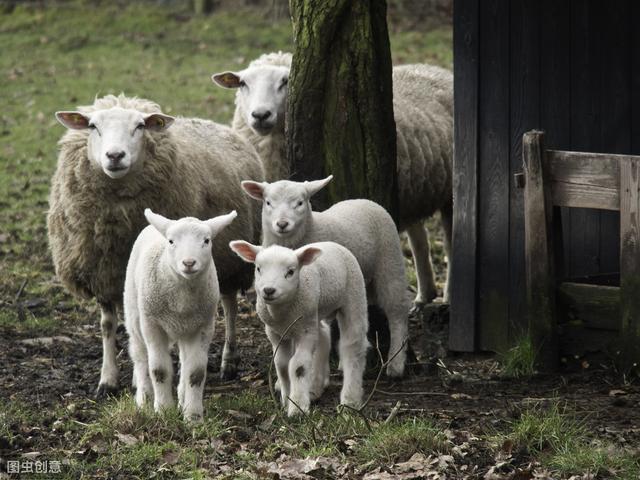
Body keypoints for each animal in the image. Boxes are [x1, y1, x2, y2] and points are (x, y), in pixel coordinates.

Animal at [47, 92, 262, 396]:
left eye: (139, 126)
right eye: (92, 126)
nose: (115, 156)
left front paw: (144, 380)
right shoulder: (103, 273)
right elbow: (108, 325)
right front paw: (108, 379)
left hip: (230, 261)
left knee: (230, 306)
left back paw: (228, 361)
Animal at [124, 208, 236, 422]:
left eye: (206, 240)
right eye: (171, 241)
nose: (189, 262)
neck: (182, 300)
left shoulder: (203, 327)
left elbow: (195, 373)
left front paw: (193, 417)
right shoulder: (153, 325)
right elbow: (158, 370)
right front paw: (163, 412)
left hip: (186, 329)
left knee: (184, 362)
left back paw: (182, 399)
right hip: (135, 314)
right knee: (140, 356)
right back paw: (144, 400)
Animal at [215, 54, 456, 306]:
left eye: (285, 81)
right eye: (243, 83)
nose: (261, 115)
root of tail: (433, 68)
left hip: (449, 193)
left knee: (450, 243)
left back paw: (447, 295)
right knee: (419, 238)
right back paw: (425, 295)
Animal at [231, 240, 370, 416]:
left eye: (290, 272)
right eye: (258, 269)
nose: (268, 290)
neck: (282, 314)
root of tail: (332, 243)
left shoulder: (305, 332)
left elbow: (298, 366)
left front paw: (297, 407)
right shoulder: (275, 333)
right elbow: (282, 364)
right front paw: (286, 400)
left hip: (354, 295)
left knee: (353, 346)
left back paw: (350, 400)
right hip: (315, 313)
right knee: (324, 337)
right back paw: (315, 388)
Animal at [240, 176, 410, 378]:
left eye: (300, 203)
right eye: (268, 202)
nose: (282, 224)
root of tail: (363, 200)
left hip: (390, 261)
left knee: (397, 311)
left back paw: (396, 363)